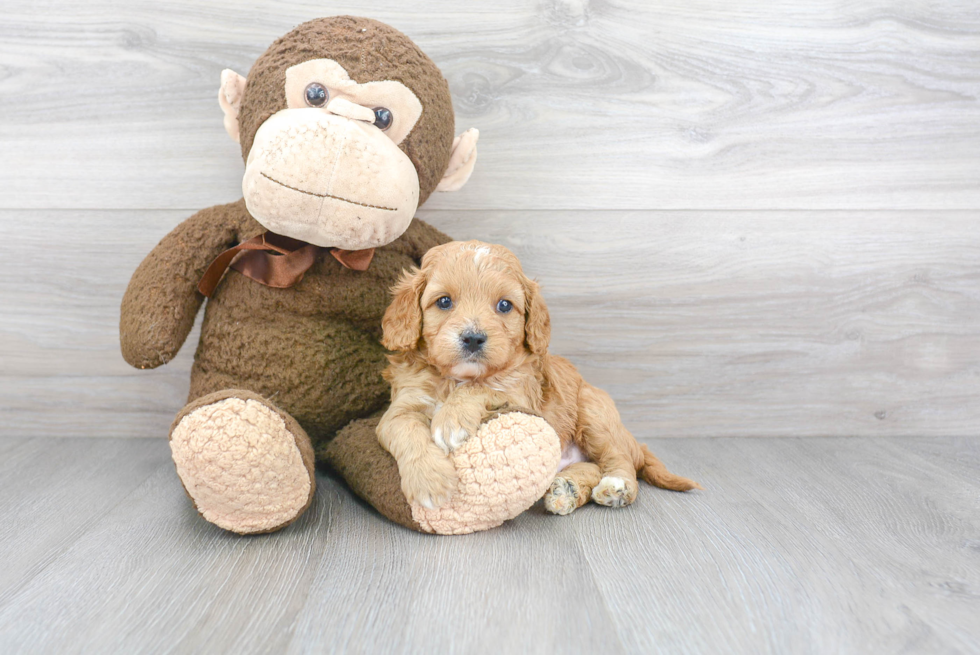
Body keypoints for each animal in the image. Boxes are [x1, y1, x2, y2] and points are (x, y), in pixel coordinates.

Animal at [378, 241, 704, 512]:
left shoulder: (522, 396)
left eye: (504, 305)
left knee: (618, 460)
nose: (473, 338)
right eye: (444, 302)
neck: (456, 378)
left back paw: (617, 487)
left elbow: (482, 387)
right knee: (593, 467)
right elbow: (406, 431)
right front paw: (429, 481)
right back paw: (567, 490)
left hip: (595, 412)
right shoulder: (400, 408)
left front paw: (451, 420)